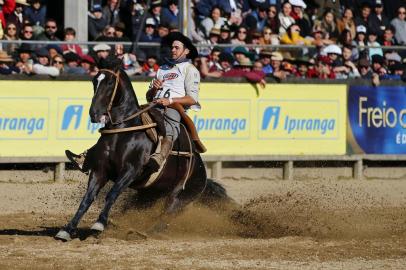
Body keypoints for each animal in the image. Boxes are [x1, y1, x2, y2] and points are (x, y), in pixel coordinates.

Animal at [55, 58, 230, 240]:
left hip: (180, 197)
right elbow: (87, 198)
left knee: (167, 214)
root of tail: (203, 173)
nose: (94, 113)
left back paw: (145, 231)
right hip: (147, 195)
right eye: (94, 81)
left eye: (110, 82)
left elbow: (112, 194)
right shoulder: (100, 170)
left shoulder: (131, 170)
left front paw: (99, 224)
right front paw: (67, 229)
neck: (125, 129)